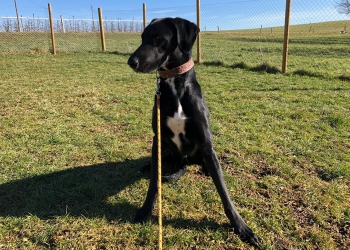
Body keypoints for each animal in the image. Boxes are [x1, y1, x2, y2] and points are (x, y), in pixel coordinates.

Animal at [127, 17, 258, 246]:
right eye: (142, 37)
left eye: (158, 37)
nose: (130, 61)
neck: (175, 84)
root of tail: (184, 160)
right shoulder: (157, 138)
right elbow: (153, 182)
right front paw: (145, 210)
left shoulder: (206, 143)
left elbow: (224, 191)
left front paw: (240, 226)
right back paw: (147, 166)